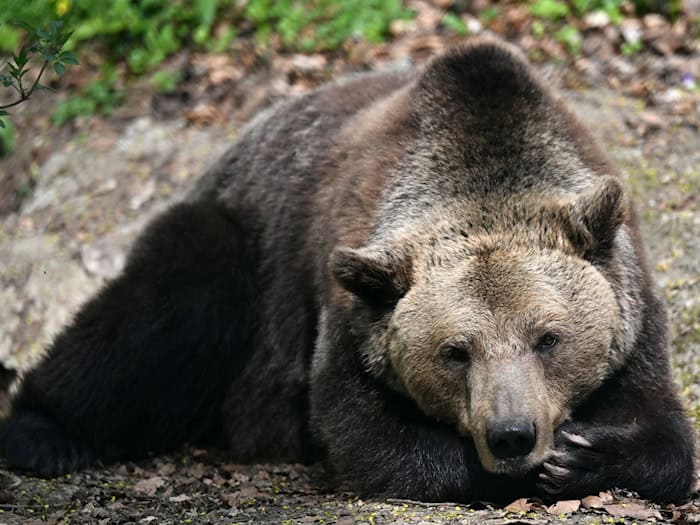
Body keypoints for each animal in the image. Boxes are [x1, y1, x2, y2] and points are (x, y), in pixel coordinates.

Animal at [0, 40, 694, 504]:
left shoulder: (632, 308)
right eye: (455, 351)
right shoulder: (347, 307)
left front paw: (586, 454)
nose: (512, 435)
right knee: (161, 311)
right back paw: (44, 433)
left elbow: (666, 433)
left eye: (548, 338)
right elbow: (369, 439)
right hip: (243, 247)